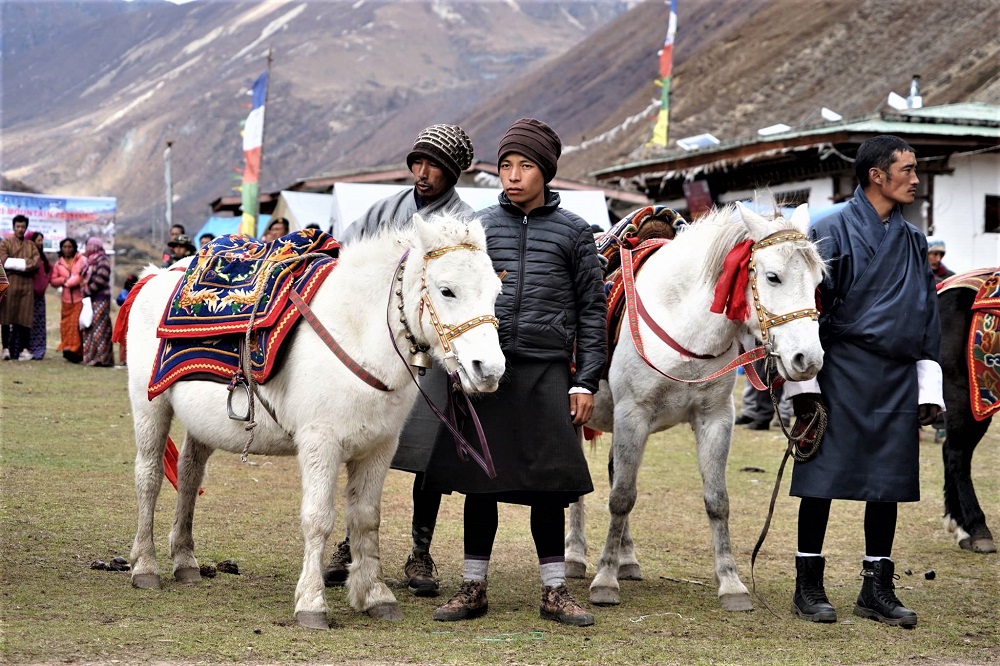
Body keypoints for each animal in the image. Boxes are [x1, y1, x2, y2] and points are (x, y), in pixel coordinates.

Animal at [125, 214, 504, 628]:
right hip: (149, 408)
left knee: (190, 477)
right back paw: (145, 566)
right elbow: (318, 518)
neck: (354, 333)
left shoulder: (379, 447)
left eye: (496, 291)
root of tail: (155, 276)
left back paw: (185, 561)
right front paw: (311, 603)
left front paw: (375, 595)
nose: (489, 369)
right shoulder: (320, 442)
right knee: (148, 477)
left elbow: (367, 519)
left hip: (201, 425)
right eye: (447, 290)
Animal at [568, 204, 824, 612]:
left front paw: (732, 584)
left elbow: (717, 501)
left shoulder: (715, 418)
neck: (683, 321)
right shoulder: (632, 415)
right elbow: (622, 497)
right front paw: (604, 581)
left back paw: (627, 559)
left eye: (818, 281)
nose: (808, 359)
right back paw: (576, 557)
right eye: (773, 277)